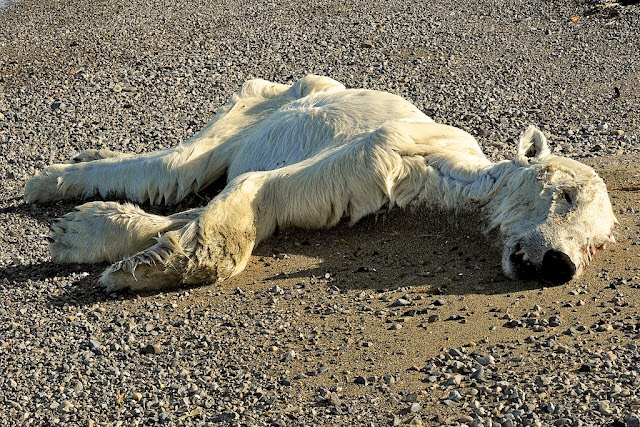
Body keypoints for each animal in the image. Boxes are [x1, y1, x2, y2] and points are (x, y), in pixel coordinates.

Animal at [25, 75, 616, 292]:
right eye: (565, 194)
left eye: (594, 243)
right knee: (183, 160)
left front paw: (94, 237)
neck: (450, 169)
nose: (560, 264)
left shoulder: (382, 188)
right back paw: (53, 179)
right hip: (277, 97)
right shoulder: (393, 146)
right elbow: (261, 182)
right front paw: (143, 263)